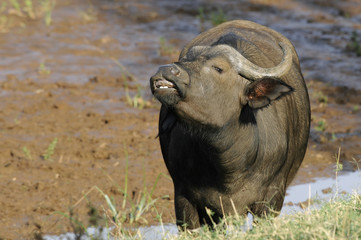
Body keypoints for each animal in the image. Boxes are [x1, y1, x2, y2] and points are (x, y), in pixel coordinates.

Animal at [149, 19, 310, 228]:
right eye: (185, 60)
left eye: (218, 68)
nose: (166, 70)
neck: (230, 165)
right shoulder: (183, 197)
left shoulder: (272, 198)